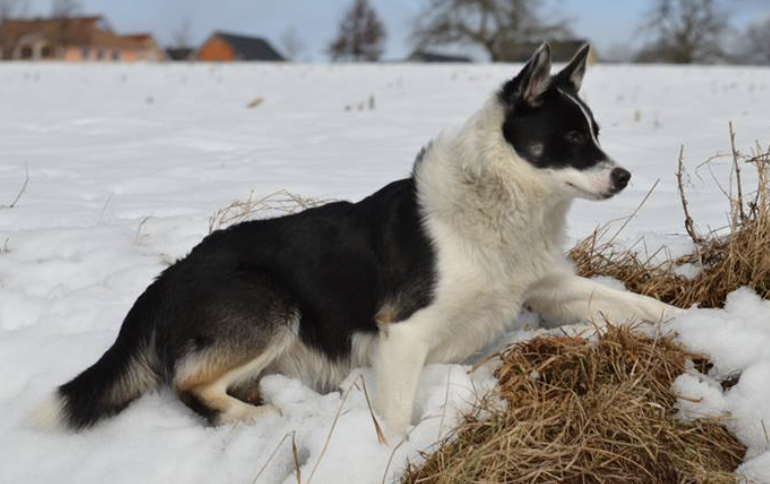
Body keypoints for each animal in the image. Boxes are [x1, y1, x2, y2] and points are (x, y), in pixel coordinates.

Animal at [31, 43, 680, 436]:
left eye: (596, 132)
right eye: (570, 137)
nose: (624, 176)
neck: (495, 199)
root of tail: (165, 278)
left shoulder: (555, 290)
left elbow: (641, 305)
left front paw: (697, 325)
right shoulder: (404, 333)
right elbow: (393, 420)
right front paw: (389, 456)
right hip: (271, 306)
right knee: (193, 386)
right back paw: (260, 421)